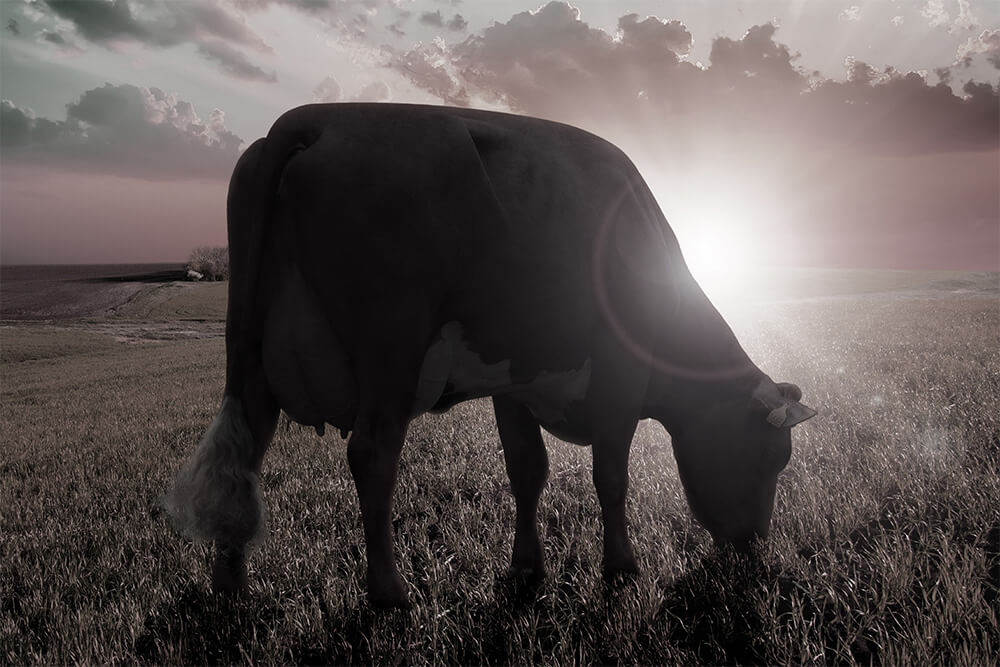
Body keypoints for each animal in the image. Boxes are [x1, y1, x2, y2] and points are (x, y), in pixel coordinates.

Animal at [167, 103, 815, 608]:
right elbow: (611, 477)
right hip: (392, 350)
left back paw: (230, 581)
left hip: (249, 354)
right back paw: (390, 593)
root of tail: (318, 118)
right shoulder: (621, 376)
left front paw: (527, 567)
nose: (754, 544)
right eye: (770, 458)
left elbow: (527, 471)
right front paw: (622, 569)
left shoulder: (516, 381)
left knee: (243, 453)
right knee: (372, 455)